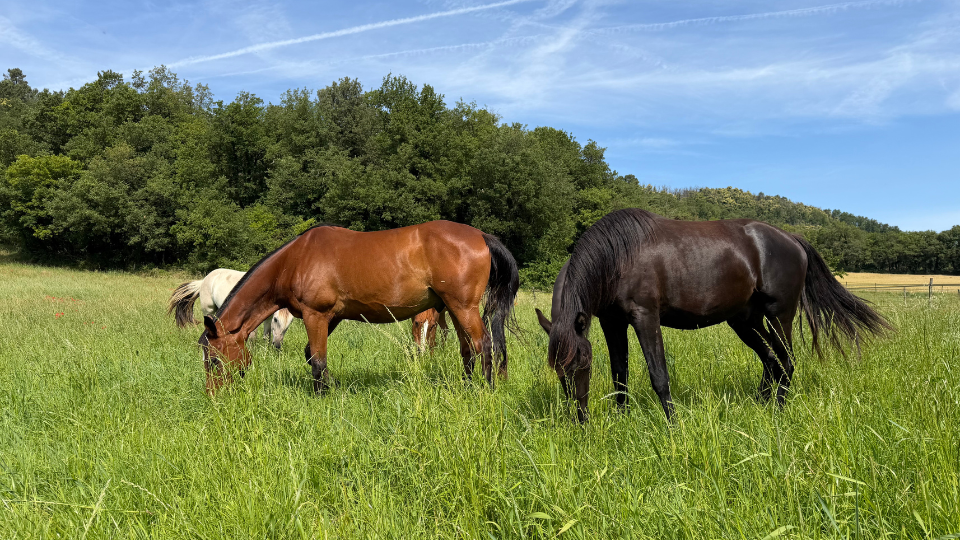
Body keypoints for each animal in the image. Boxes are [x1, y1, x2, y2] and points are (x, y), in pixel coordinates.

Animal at [198, 221, 519, 395]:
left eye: (213, 361)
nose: (213, 397)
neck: (295, 259)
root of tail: (480, 236)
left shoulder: (316, 315)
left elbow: (317, 360)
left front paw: (321, 396)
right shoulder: (331, 317)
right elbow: (312, 355)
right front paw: (333, 387)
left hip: (463, 307)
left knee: (484, 344)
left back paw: (485, 390)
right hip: (453, 309)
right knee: (467, 350)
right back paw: (466, 387)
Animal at [535, 208, 892, 422]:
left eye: (583, 365)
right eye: (559, 371)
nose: (579, 421)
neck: (617, 257)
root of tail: (792, 238)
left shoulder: (645, 317)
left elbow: (659, 376)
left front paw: (673, 427)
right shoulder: (612, 322)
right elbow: (619, 374)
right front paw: (621, 420)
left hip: (779, 315)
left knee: (787, 361)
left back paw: (777, 412)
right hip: (746, 321)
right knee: (771, 361)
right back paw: (760, 407)